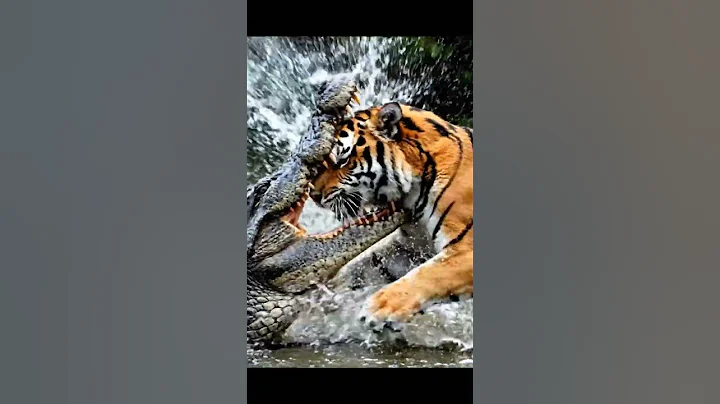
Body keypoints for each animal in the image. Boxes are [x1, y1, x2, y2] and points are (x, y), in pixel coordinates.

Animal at [309, 101, 474, 329]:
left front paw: (378, 306)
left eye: (342, 161)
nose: (313, 195)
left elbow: (429, 273)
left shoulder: (466, 246)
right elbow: (366, 261)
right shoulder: (411, 243)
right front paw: (326, 289)